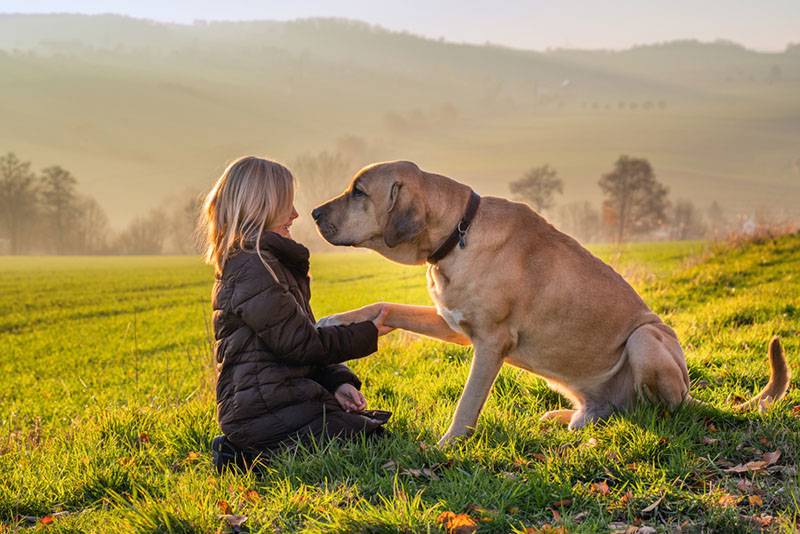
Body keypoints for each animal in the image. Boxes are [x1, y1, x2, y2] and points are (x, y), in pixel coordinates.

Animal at [310, 161, 788, 446]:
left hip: (646, 338)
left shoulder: (491, 343)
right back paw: (570, 418)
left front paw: (447, 446)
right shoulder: (454, 325)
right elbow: (384, 306)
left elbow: (467, 404)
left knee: (665, 409)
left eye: (358, 192)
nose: (313, 213)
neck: (459, 232)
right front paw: (332, 321)